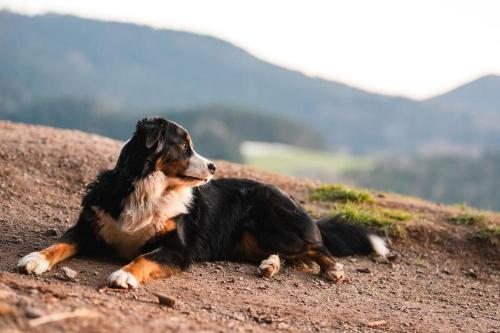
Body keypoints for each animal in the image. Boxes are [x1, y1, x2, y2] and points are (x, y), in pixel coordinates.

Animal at [17, 116, 388, 288]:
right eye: (184, 146)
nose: (213, 167)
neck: (148, 189)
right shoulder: (90, 226)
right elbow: (60, 243)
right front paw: (35, 258)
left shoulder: (178, 249)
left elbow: (142, 258)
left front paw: (124, 275)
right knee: (293, 255)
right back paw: (269, 265)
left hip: (274, 224)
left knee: (317, 247)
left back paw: (333, 269)